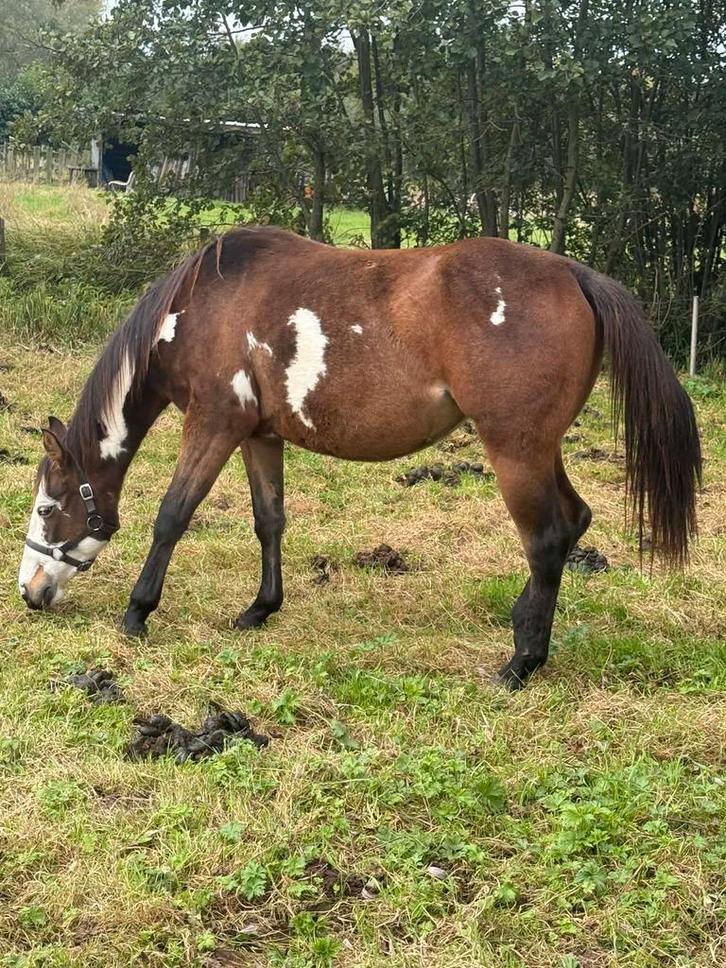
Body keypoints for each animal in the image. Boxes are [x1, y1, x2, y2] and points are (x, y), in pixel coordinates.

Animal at [18, 226, 701, 689]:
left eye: (49, 508)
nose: (30, 592)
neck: (202, 304)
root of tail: (574, 274)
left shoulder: (213, 423)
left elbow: (171, 516)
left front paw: (137, 613)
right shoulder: (259, 435)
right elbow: (269, 521)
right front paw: (260, 610)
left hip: (516, 450)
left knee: (548, 537)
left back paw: (521, 662)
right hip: (539, 448)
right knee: (574, 521)